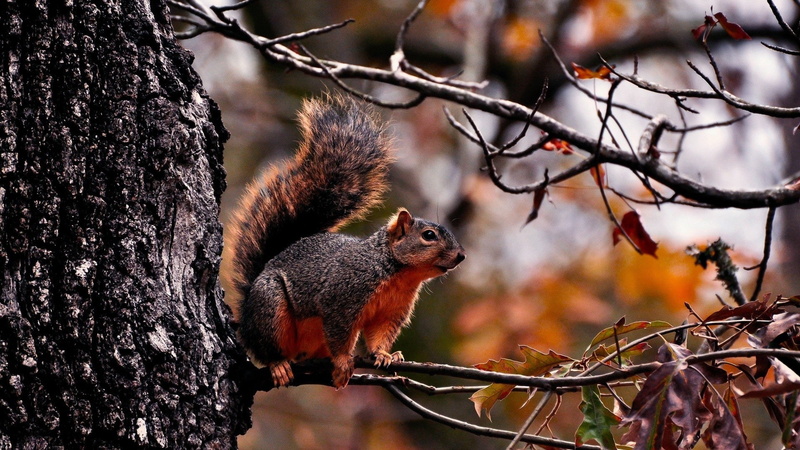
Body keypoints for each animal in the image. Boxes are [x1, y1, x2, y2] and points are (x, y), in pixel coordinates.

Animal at [226, 95, 465, 389]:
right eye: (429, 236)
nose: (461, 255)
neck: (398, 273)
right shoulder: (342, 297)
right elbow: (340, 333)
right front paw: (342, 362)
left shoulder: (391, 312)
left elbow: (379, 335)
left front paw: (385, 354)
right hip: (269, 306)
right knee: (266, 346)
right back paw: (279, 364)